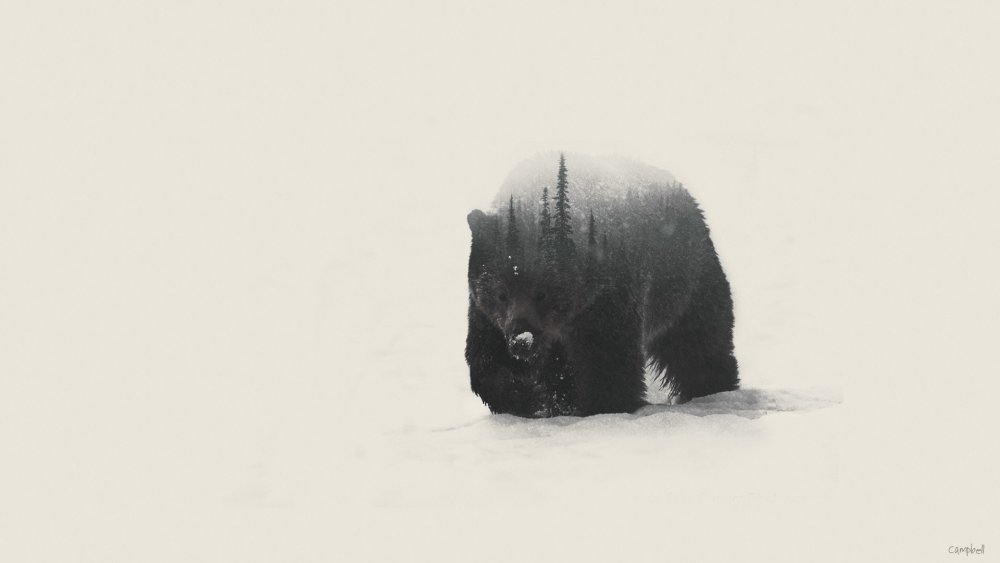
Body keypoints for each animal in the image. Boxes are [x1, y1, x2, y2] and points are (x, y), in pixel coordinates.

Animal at [466, 152, 738, 417]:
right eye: (500, 293)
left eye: (541, 293)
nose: (522, 339)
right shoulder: (486, 313)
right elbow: (487, 358)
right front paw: (527, 399)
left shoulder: (607, 295)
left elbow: (607, 358)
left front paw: (604, 405)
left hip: (685, 279)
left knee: (698, 341)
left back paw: (713, 388)